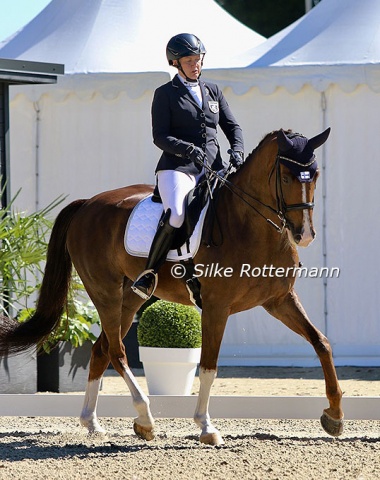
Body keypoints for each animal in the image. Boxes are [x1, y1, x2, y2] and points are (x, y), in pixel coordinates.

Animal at [0, 127, 344, 446]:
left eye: (314, 175)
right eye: (285, 178)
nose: (304, 235)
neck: (251, 225)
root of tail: (87, 205)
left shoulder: (279, 300)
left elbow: (322, 343)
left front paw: (335, 416)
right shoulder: (216, 307)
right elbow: (208, 367)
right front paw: (206, 427)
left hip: (132, 297)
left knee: (100, 350)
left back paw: (92, 422)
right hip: (104, 291)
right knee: (117, 351)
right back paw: (145, 419)